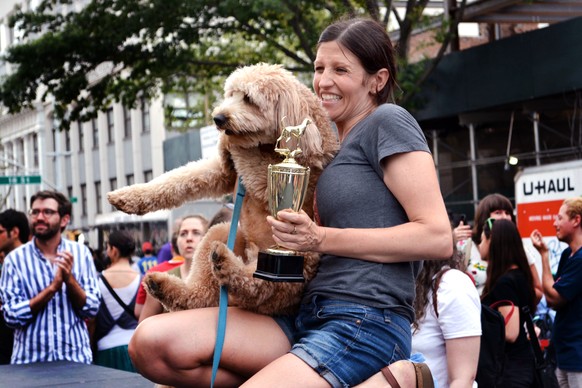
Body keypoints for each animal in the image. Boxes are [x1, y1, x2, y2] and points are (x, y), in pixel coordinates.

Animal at [107, 63, 340, 316]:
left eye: (248, 98)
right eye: (231, 95)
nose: (218, 118)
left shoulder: (274, 177)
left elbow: (245, 153)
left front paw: (229, 144)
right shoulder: (224, 174)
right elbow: (179, 178)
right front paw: (126, 196)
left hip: (301, 257)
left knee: (254, 285)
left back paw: (226, 264)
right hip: (222, 232)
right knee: (198, 296)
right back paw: (166, 285)